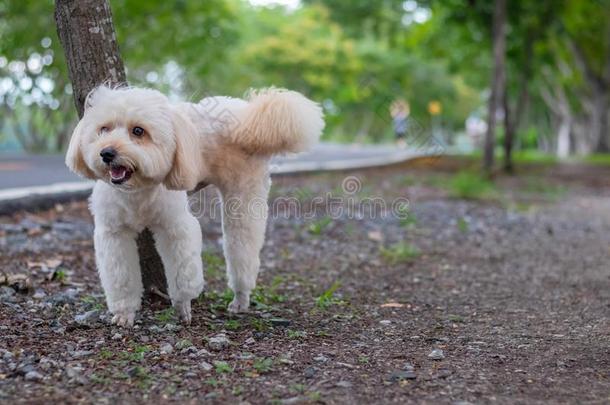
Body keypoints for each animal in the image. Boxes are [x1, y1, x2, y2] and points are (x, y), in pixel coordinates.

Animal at [63, 85, 324, 326]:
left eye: (138, 131)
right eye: (103, 129)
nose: (106, 153)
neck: (136, 190)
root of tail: (246, 116)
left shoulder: (176, 227)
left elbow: (182, 273)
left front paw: (183, 306)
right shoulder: (113, 234)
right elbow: (121, 278)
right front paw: (124, 313)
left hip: (243, 199)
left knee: (243, 251)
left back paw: (240, 298)